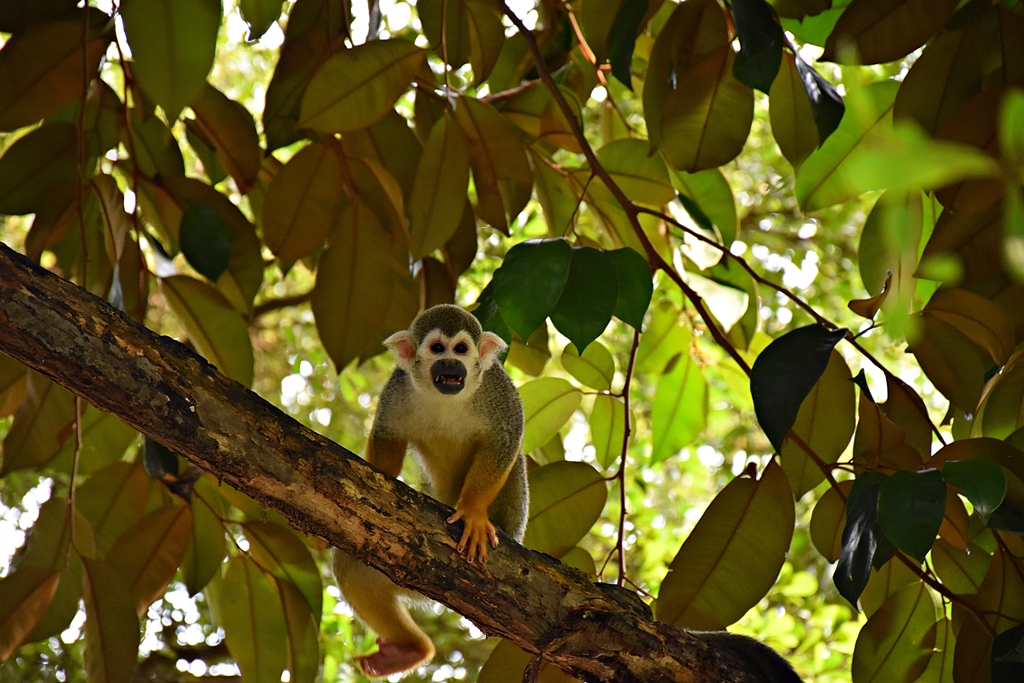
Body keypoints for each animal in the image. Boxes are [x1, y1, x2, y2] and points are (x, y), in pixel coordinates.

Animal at [333, 304, 528, 678]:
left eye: (461, 349)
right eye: (438, 349)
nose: (451, 364)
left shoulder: (497, 388)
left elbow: (504, 444)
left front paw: (473, 513)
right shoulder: (397, 388)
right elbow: (387, 441)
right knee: (352, 568)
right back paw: (410, 649)